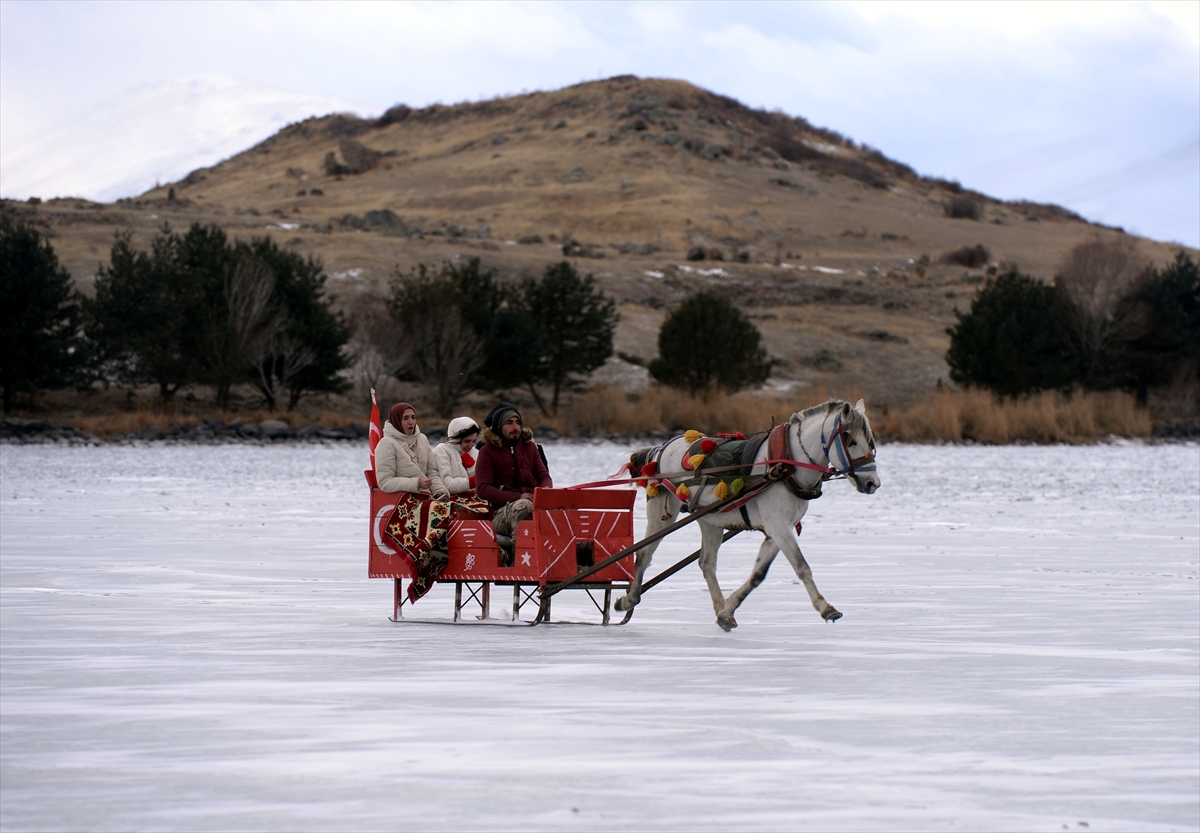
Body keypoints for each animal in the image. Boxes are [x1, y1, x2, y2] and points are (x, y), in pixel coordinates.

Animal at [614, 400, 878, 628]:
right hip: (661, 510)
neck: (787, 462)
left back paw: (719, 608)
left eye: (871, 441)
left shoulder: (778, 528)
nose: (873, 483)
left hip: (710, 519)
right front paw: (826, 608)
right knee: (644, 555)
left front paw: (728, 611)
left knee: (707, 563)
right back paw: (628, 600)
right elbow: (802, 567)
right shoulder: (778, 526)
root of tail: (662, 447)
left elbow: (758, 575)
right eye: (850, 440)